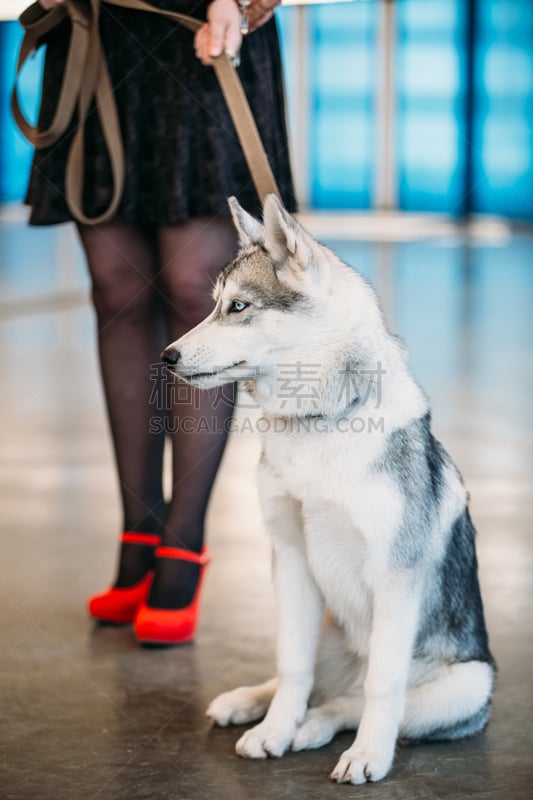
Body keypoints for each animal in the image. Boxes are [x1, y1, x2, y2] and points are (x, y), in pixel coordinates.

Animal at [160, 197, 492, 784]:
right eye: (216, 306)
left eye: (239, 307)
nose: (168, 356)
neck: (320, 424)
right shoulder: (290, 558)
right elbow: (291, 667)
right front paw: (273, 730)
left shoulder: (395, 577)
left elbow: (382, 688)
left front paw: (368, 755)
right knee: (314, 684)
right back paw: (253, 705)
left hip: (468, 685)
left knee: (352, 701)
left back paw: (318, 730)